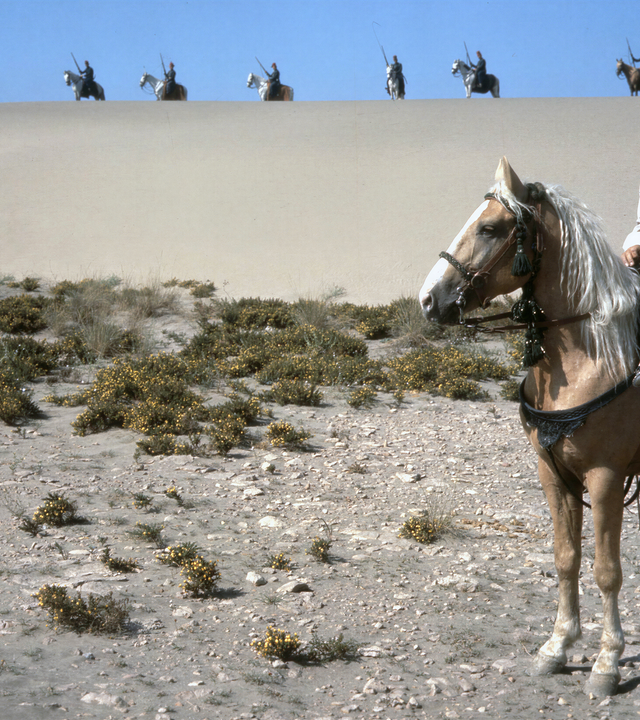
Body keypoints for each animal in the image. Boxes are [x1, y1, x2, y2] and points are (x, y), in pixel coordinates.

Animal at [420, 157, 640, 697]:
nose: (428, 300)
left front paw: (607, 662)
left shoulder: (605, 476)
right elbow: (565, 558)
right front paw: (558, 646)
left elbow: (607, 571)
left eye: (489, 228)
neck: (593, 354)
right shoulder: (553, 472)